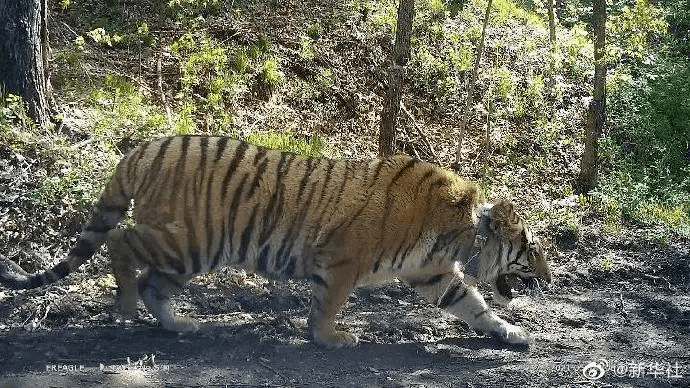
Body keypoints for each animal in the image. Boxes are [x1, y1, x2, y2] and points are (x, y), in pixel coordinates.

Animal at [0, 135, 548, 348]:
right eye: (533, 249)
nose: (547, 279)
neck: (460, 237)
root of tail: (143, 149)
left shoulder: (432, 275)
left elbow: (476, 306)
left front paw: (512, 333)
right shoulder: (344, 260)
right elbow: (330, 303)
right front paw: (330, 338)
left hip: (190, 252)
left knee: (154, 279)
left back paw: (178, 324)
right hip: (185, 240)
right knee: (120, 240)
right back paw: (126, 307)